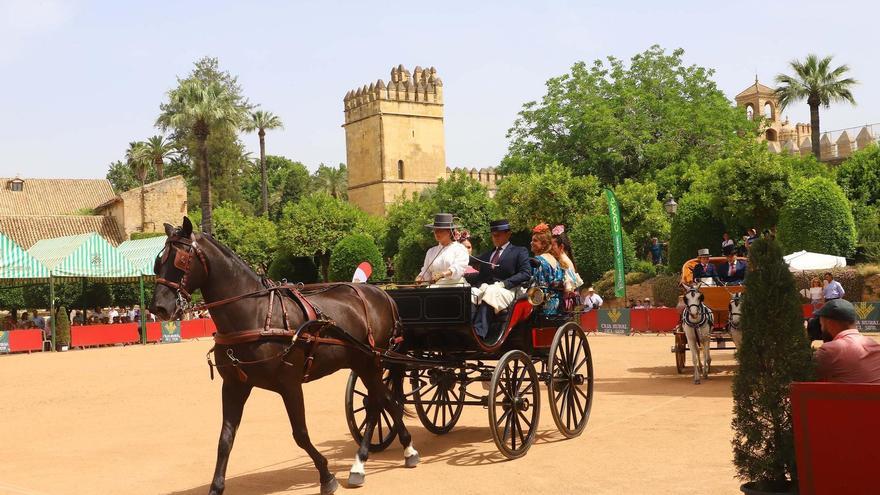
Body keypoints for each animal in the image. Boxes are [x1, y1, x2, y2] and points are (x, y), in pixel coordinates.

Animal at [150, 219, 418, 495]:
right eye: (158, 262)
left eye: (181, 259)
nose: (158, 307)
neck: (256, 314)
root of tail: (382, 294)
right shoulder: (235, 385)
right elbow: (225, 438)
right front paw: (216, 487)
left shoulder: (290, 384)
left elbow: (300, 433)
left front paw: (326, 475)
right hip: (363, 362)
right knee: (382, 400)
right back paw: (386, 453)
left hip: (371, 362)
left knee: (378, 402)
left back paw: (379, 458)